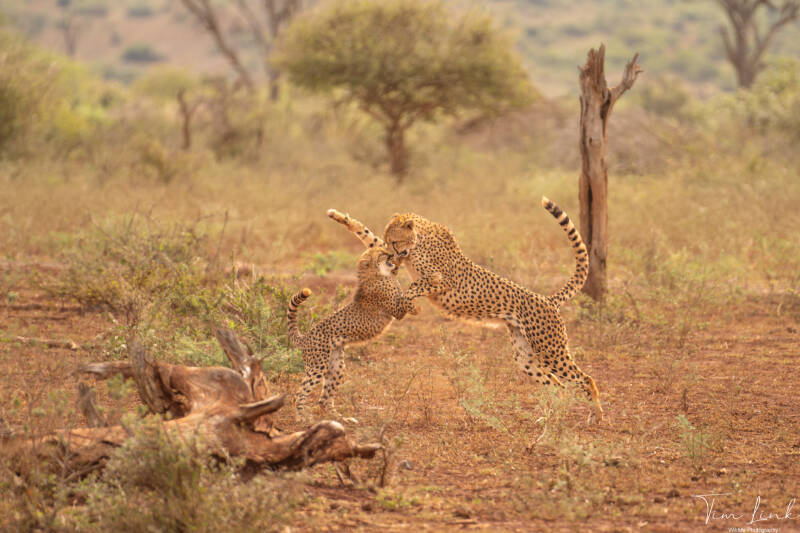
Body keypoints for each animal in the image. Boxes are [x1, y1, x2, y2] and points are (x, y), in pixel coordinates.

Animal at [287, 245, 418, 419]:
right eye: (382, 254)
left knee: (323, 399)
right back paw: (302, 417)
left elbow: (407, 294)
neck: (378, 274)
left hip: (336, 367)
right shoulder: (396, 311)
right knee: (299, 393)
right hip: (317, 366)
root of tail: (306, 336)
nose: (392, 254)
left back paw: (339, 417)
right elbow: (407, 296)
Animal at [327, 197, 603, 422]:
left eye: (394, 241)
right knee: (558, 386)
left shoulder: (440, 281)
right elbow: (366, 233)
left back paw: (596, 417)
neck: (418, 241)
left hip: (550, 350)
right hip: (526, 357)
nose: (391, 255)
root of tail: (547, 299)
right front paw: (340, 216)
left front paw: (405, 304)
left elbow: (413, 286)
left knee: (585, 379)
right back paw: (552, 417)